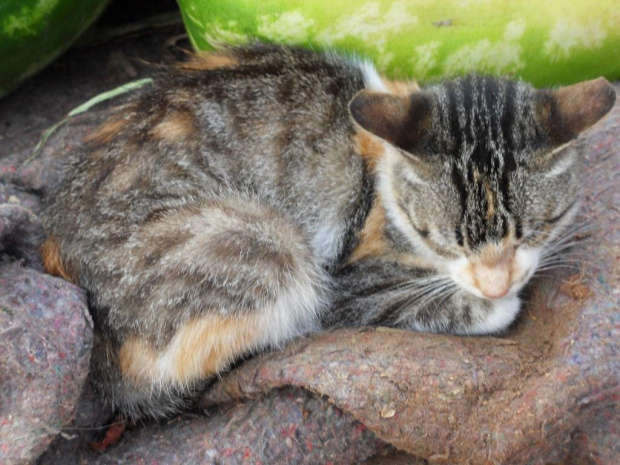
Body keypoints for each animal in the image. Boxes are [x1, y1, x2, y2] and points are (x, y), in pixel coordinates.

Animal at [40, 43, 616, 418]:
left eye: (536, 229)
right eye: (439, 238)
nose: (496, 282)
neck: (385, 184)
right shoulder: (350, 280)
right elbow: (424, 302)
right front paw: (498, 304)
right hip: (261, 243)